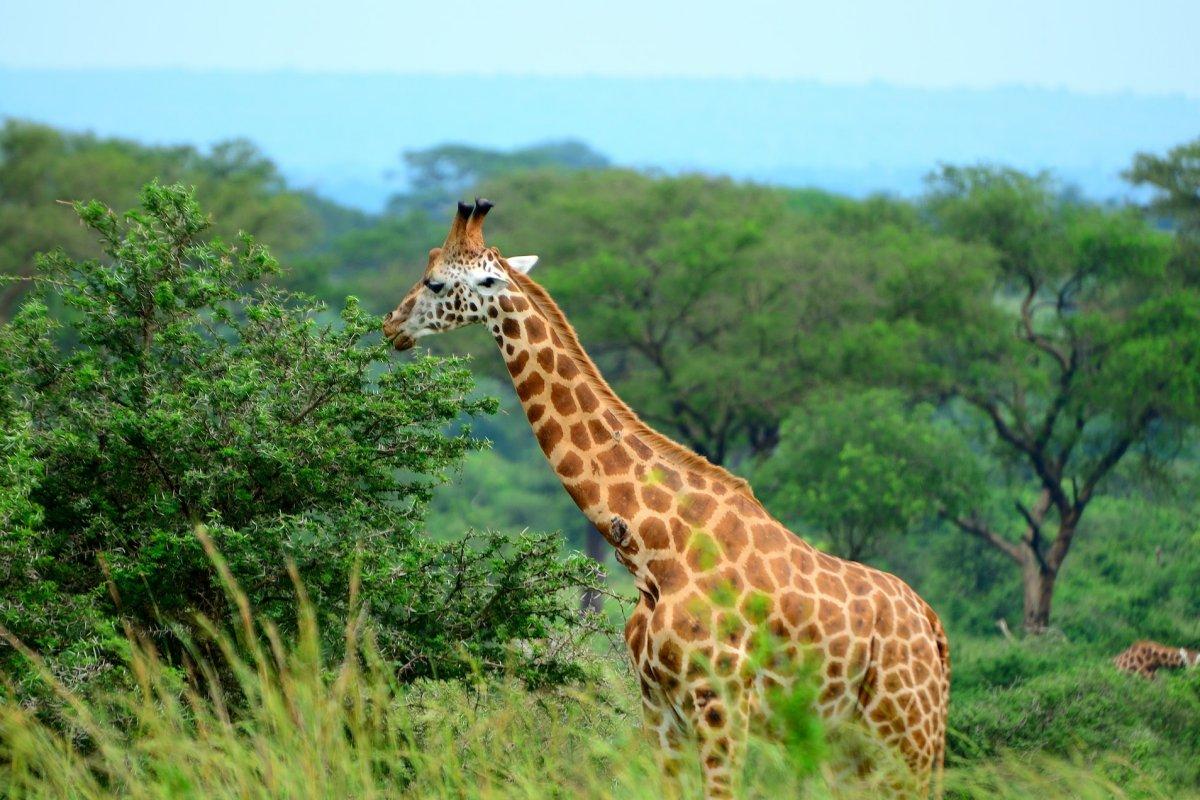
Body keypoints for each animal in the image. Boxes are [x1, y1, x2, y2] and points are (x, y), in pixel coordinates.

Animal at [381, 199, 945, 796]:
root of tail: (936, 633)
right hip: (853, 744)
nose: (391, 325)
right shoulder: (660, 711)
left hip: (905, 736)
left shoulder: (721, 706)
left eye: (435, 282)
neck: (654, 555)